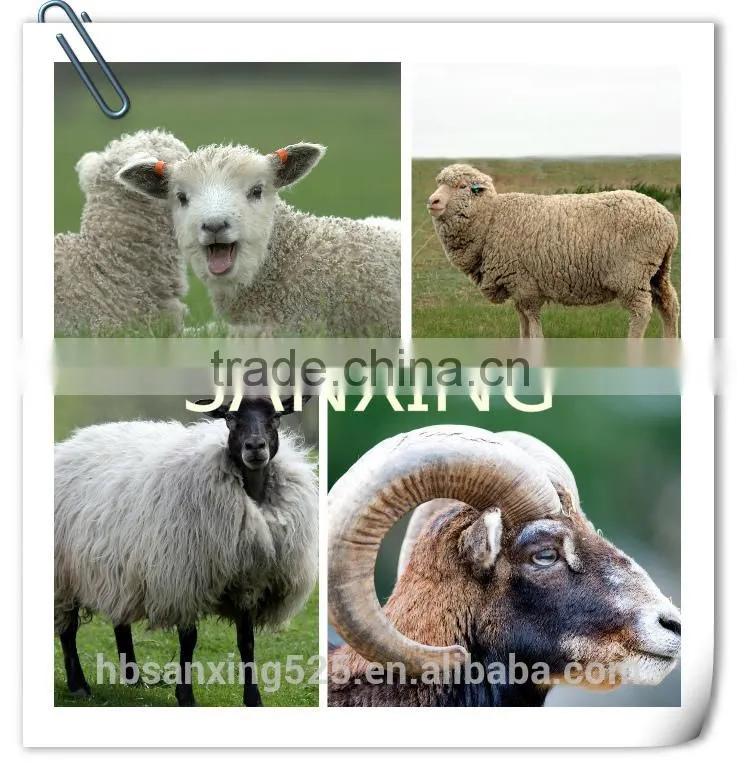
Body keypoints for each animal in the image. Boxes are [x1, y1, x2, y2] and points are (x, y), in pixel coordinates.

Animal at [55, 395, 318, 706]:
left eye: (276, 416)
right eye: (230, 417)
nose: (255, 447)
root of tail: (72, 442)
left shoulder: (247, 583)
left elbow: (247, 642)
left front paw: (254, 699)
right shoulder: (183, 580)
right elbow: (189, 640)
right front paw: (186, 696)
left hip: (120, 569)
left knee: (120, 620)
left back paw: (134, 680)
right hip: (64, 577)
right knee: (68, 630)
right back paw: (79, 685)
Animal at [427, 164, 680, 338]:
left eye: (461, 186)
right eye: (439, 184)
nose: (432, 201)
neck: (490, 219)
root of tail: (667, 218)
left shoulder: (524, 282)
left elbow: (531, 318)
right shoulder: (516, 282)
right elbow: (522, 319)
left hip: (632, 273)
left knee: (641, 312)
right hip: (658, 270)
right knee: (669, 304)